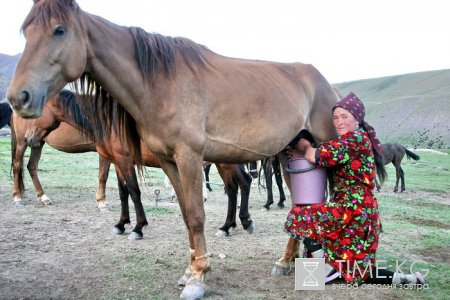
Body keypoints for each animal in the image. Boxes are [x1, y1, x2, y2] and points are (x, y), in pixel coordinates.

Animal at [7, 0, 340, 298]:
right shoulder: (168, 162)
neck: (159, 84)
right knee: (297, 203)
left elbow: (195, 214)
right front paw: (189, 269)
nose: (18, 98)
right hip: (288, 155)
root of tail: (323, 81)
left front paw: (198, 277)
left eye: (59, 30)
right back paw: (285, 261)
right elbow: (183, 214)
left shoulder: (188, 158)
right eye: (26, 32)